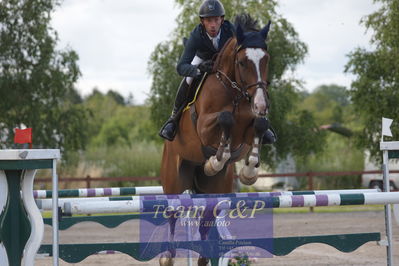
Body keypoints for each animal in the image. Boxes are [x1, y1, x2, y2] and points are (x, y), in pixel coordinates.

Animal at [159, 16, 272, 266]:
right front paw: (216, 161)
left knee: (205, 223)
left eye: (266, 59)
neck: (234, 90)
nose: (261, 104)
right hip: (174, 180)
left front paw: (249, 171)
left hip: (213, 189)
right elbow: (225, 118)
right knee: (172, 213)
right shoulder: (204, 127)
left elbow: (259, 125)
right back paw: (167, 257)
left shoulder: (248, 130)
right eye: (242, 62)